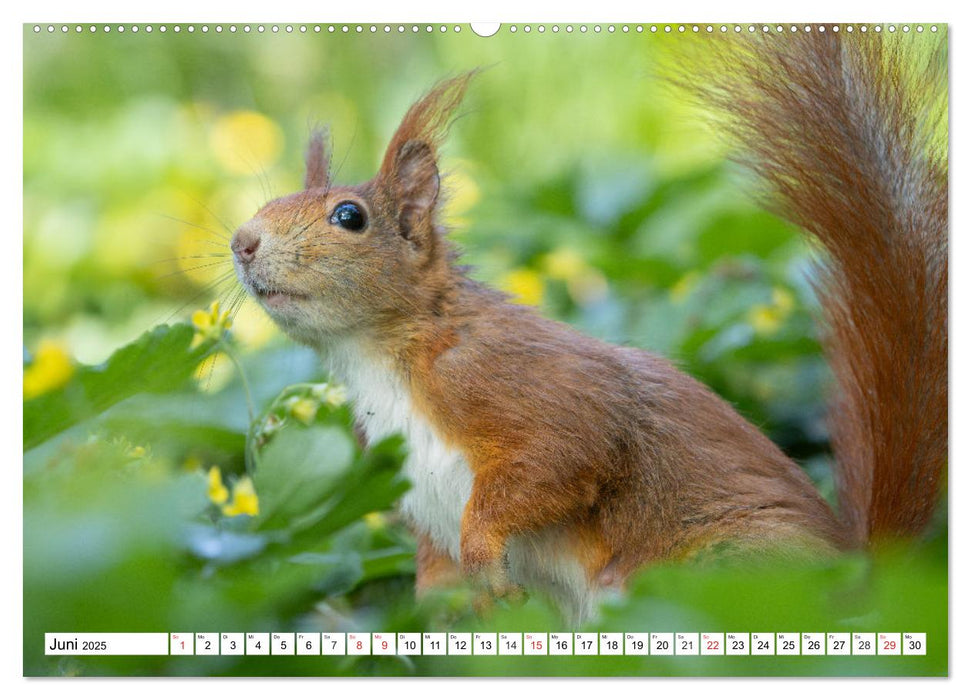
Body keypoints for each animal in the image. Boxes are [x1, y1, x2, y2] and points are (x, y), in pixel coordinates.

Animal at [230, 34, 948, 624]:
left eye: (348, 217)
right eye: (269, 203)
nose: (241, 241)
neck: (381, 354)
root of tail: (856, 588)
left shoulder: (517, 379)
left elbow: (563, 452)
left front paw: (485, 556)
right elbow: (435, 569)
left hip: (722, 575)